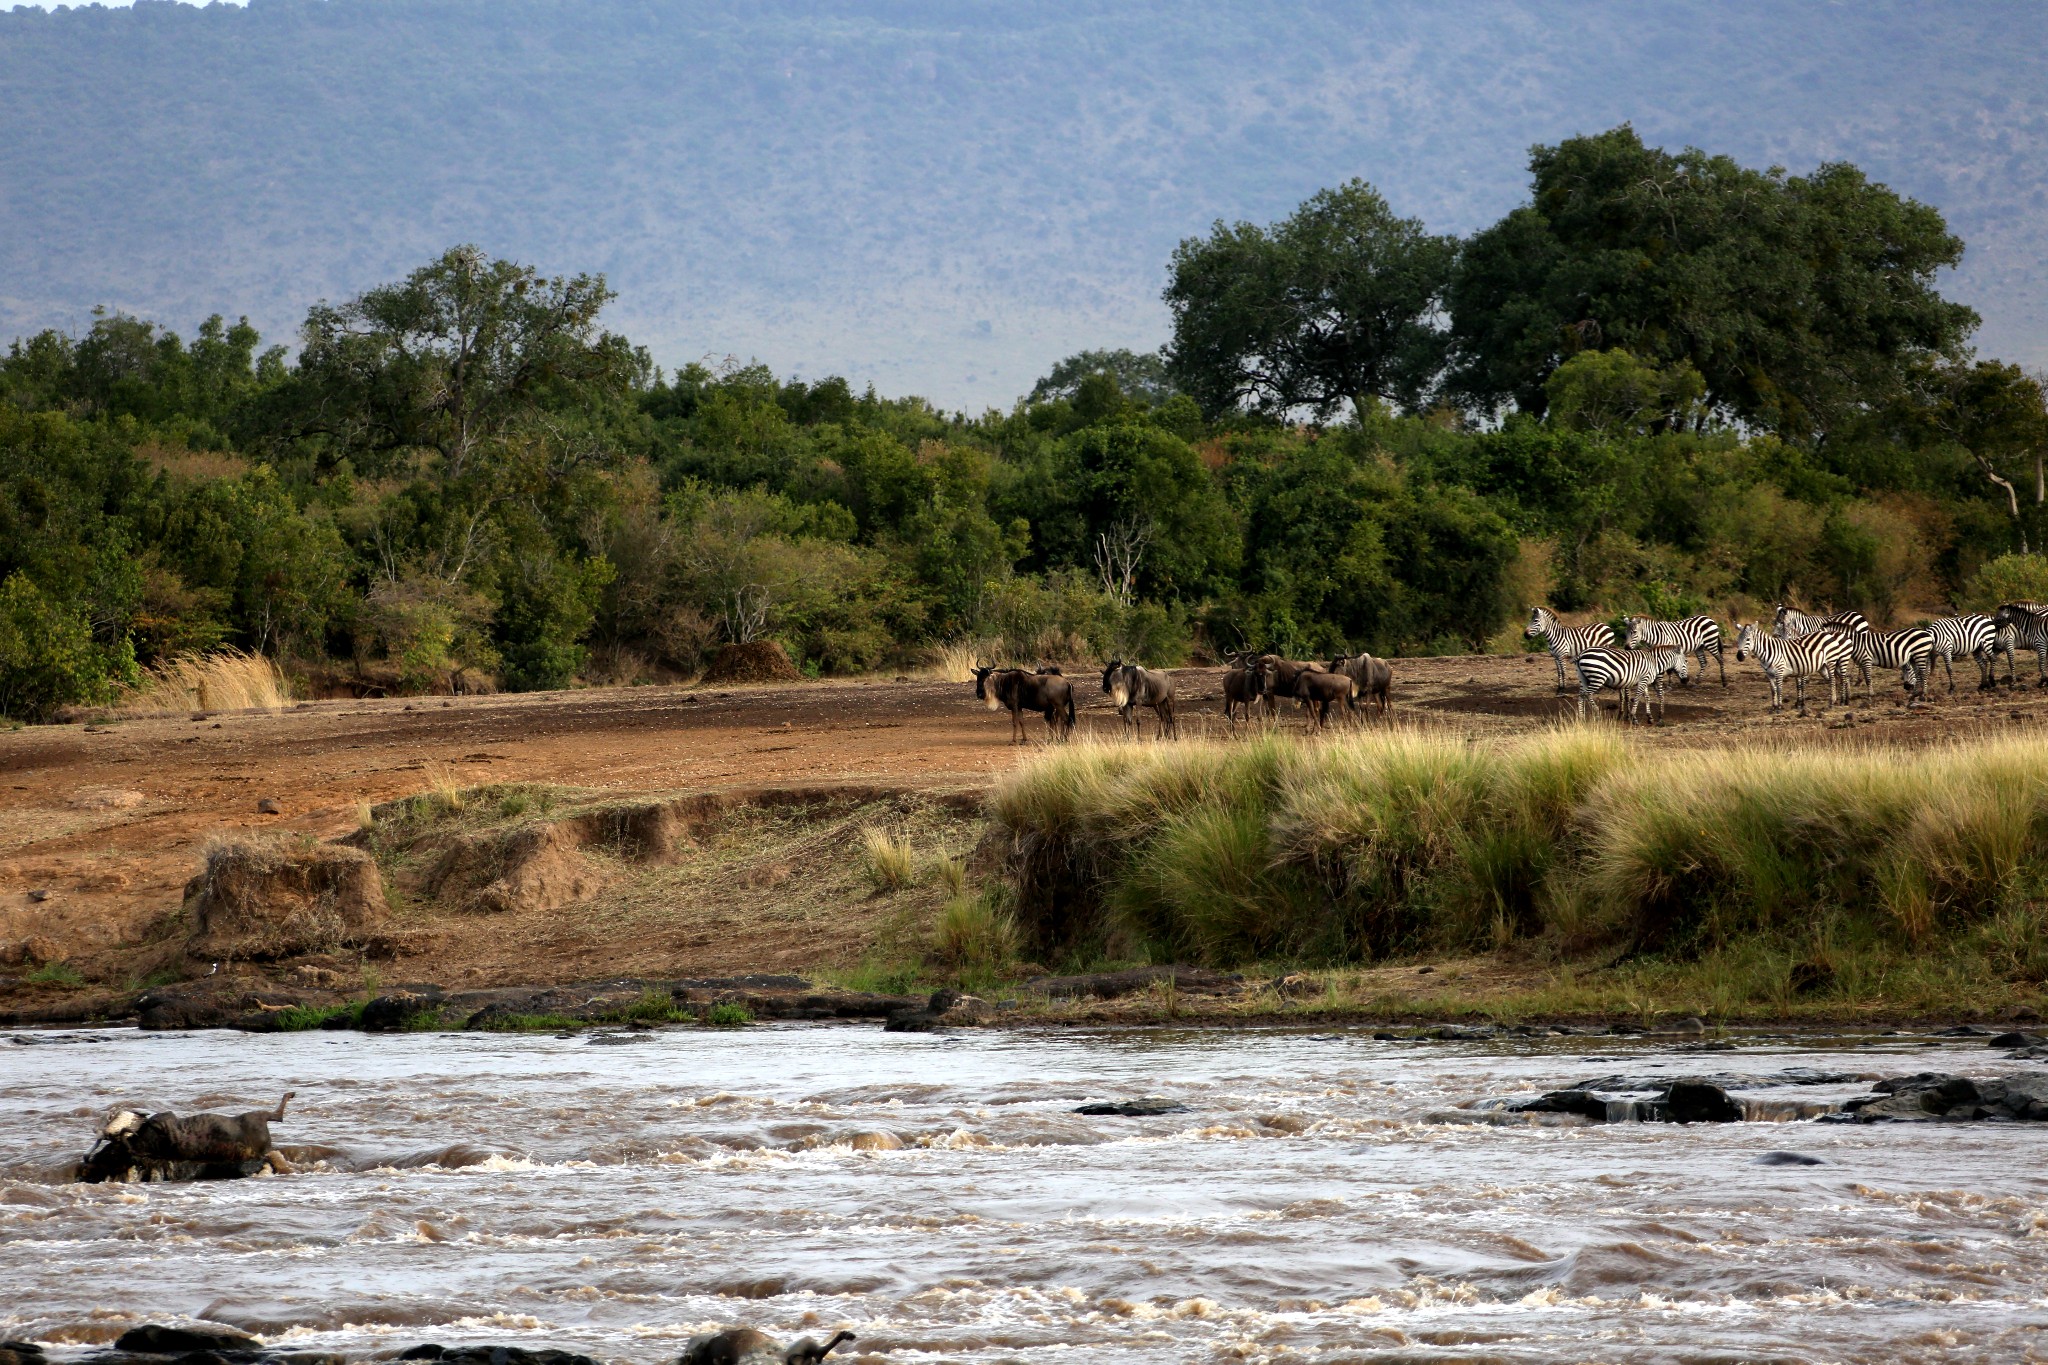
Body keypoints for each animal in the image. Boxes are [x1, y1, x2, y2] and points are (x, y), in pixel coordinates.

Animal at [1736, 626, 1867, 716]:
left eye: (1748, 639)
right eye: (1738, 639)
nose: (1739, 657)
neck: (1769, 651)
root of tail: (1840, 634)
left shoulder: (1781, 671)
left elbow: (1781, 689)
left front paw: (1780, 708)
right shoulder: (1769, 674)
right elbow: (1773, 691)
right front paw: (1773, 708)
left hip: (1835, 661)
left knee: (1835, 680)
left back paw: (1834, 702)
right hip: (1828, 666)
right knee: (1843, 679)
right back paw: (1844, 700)